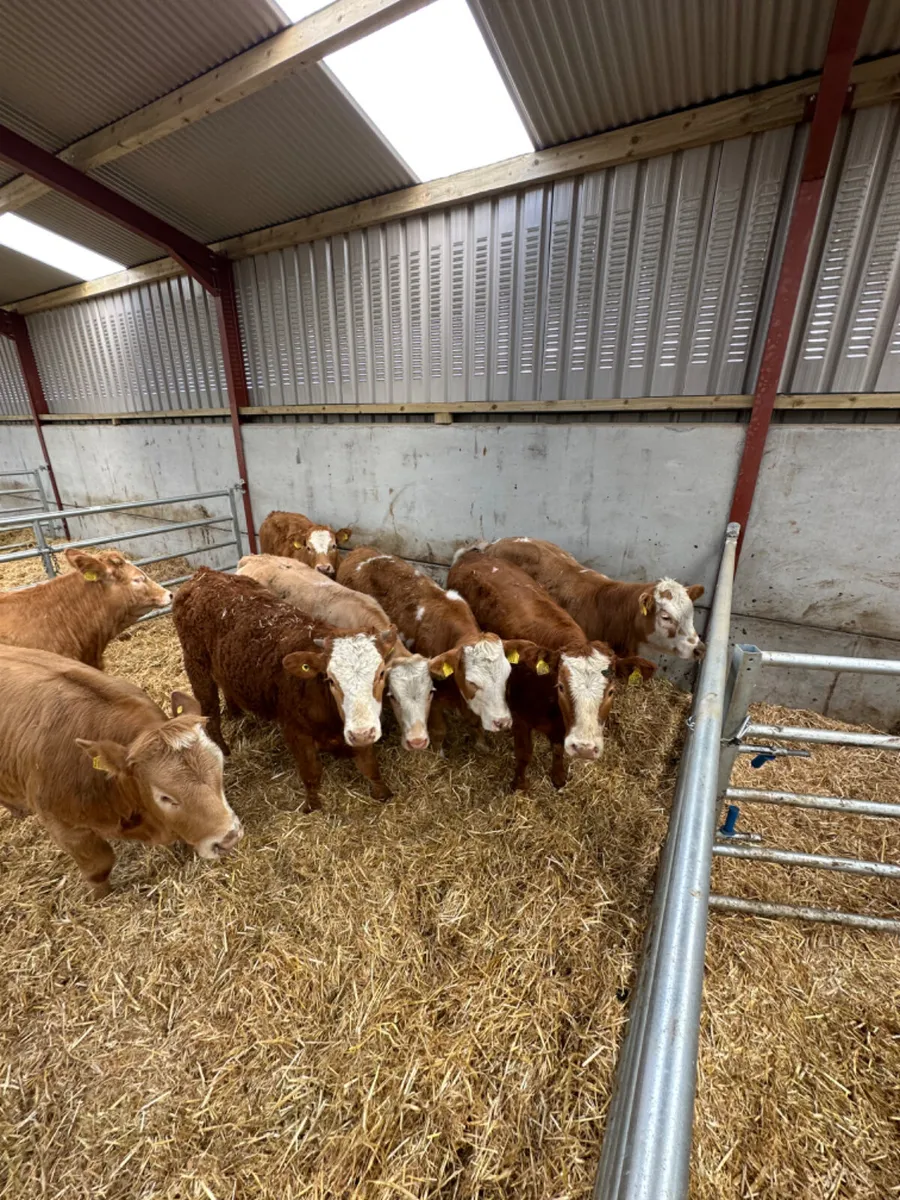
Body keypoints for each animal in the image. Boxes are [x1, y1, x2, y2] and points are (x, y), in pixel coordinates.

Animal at [0, 645, 241, 899]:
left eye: (220, 768)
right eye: (165, 797)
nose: (229, 839)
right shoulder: (65, 828)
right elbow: (98, 866)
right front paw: (101, 898)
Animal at [173, 568, 395, 809]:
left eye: (381, 673)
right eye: (330, 679)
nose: (362, 733)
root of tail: (204, 574)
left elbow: (370, 765)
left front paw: (383, 792)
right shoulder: (295, 731)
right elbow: (311, 773)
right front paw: (313, 806)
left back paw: (235, 712)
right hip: (196, 665)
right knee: (210, 710)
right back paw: (223, 750)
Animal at [337, 547, 540, 754]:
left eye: (507, 676)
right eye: (472, 682)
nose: (502, 722)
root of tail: (360, 550)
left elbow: (475, 721)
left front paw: (482, 744)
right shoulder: (433, 695)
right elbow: (439, 730)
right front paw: (438, 753)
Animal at [447, 549, 656, 792]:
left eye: (611, 691)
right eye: (562, 687)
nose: (585, 748)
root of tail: (472, 554)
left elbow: (558, 751)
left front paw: (558, 777)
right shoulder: (520, 717)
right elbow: (524, 754)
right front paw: (519, 784)